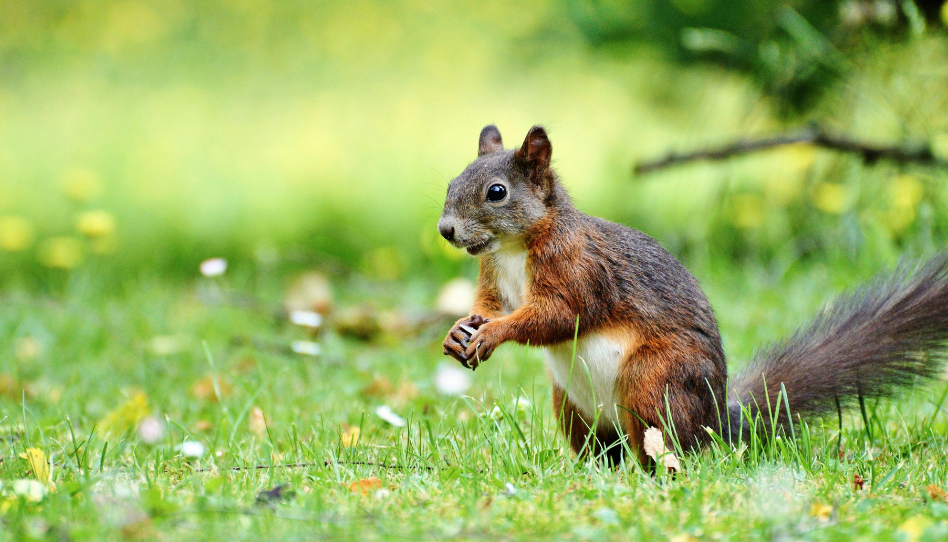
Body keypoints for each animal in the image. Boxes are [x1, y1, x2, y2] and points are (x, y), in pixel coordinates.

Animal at [440, 125, 948, 466]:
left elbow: (555, 316)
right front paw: (459, 331)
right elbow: (489, 305)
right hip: (572, 406)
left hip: (653, 381)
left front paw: (493, 334)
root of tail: (716, 423)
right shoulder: (493, 278)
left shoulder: (579, 271)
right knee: (604, 450)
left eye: (497, 192)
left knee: (664, 446)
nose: (446, 230)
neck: (512, 249)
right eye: (451, 183)